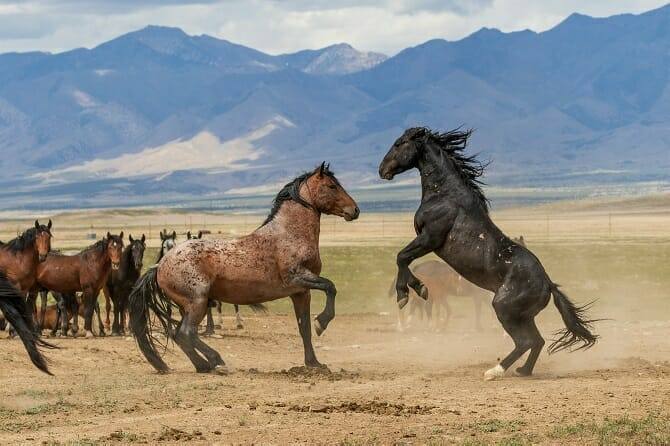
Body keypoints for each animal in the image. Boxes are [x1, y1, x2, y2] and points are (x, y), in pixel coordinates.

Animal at [132, 164, 362, 372]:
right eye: (332, 186)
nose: (355, 210)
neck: (289, 234)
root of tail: (159, 266)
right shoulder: (298, 279)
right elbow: (330, 287)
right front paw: (321, 323)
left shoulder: (301, 292)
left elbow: (303, 327)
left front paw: (314, 363)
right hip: (197, 302)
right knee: (186, 333)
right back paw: (216, 361)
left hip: (189, 306)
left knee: (179, 335)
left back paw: (204, 366)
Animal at [380, 128, 600, 380]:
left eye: (399, 143)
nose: (382, 170)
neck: (445, 195)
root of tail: (549, 285)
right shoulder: (426, 241)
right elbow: (403, 259)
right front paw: (415, 290)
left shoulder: (429, 239)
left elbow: (401, 257)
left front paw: (409, 293)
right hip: (523, 316)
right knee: (537, 341)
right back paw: (523, 371)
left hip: (504, 309)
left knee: (526, 341)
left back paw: (495, 371)